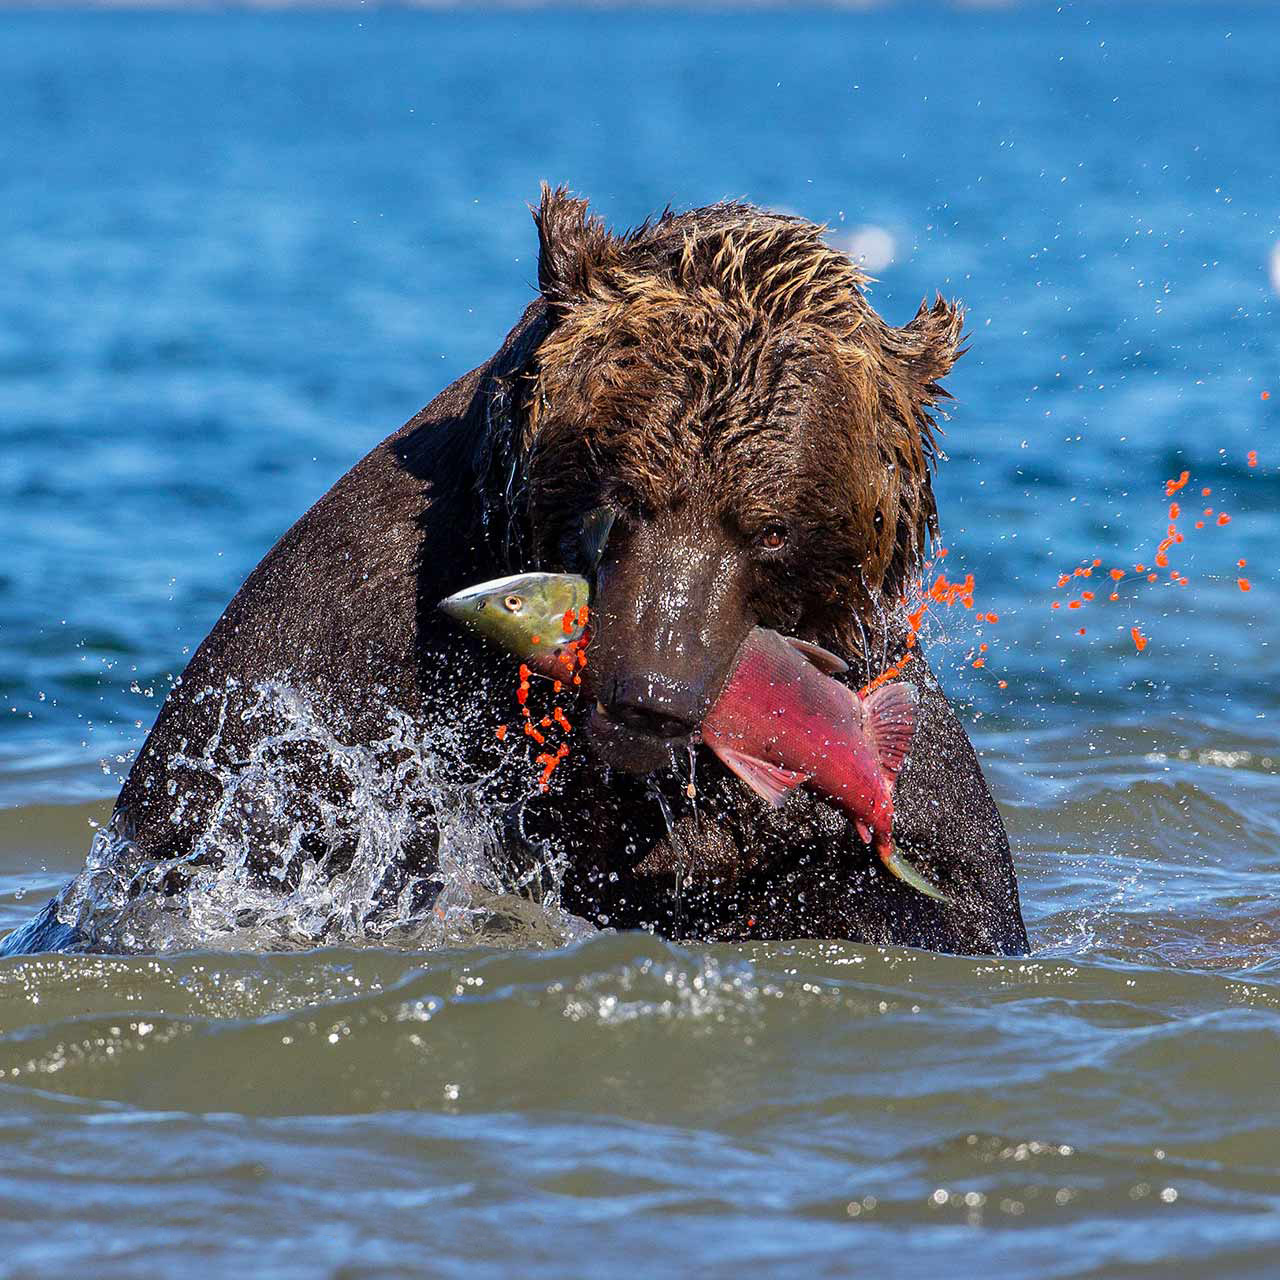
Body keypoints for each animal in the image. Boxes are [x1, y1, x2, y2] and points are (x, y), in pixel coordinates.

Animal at [5, 185, 1029, 957]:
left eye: (769, 530)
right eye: (620, 492)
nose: (651, 693)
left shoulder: (879, 712)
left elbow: (934, 895)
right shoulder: (321, 669)